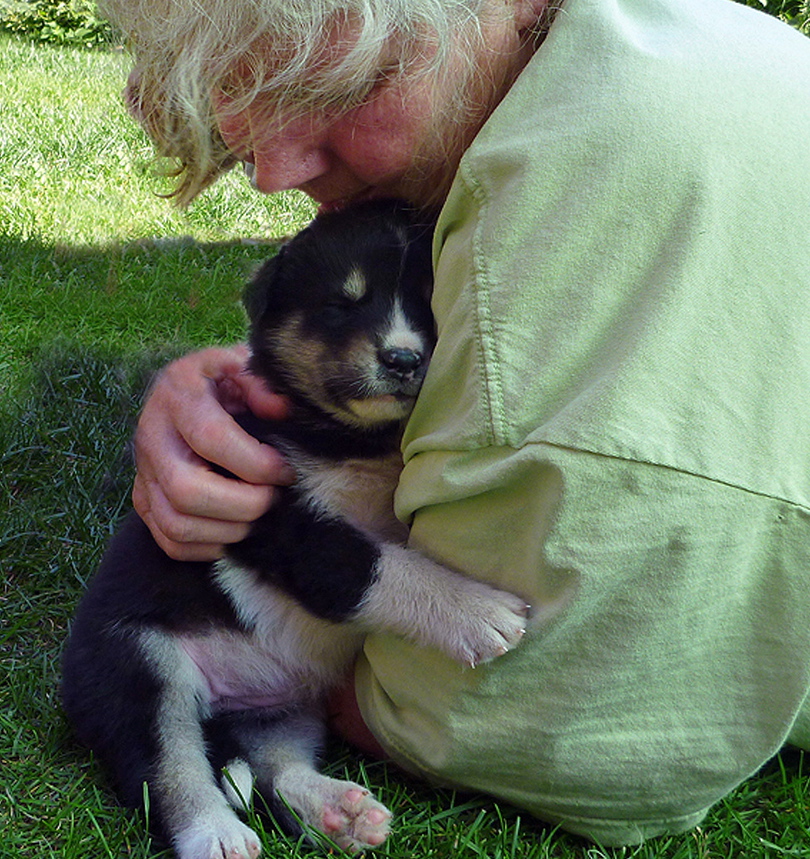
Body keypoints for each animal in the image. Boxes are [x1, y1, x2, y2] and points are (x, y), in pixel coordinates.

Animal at [63, 200, 532, 859]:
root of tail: (227, 707)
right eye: (342, 304)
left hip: (286, 707)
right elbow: (383, 568)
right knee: (166, 767)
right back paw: (217, 835)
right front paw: (482, 613)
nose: (403, 359)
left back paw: (341, 812)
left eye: (429, 303)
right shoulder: (283, 525)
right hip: (139, 666)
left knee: (274, 769)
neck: (353, 440)